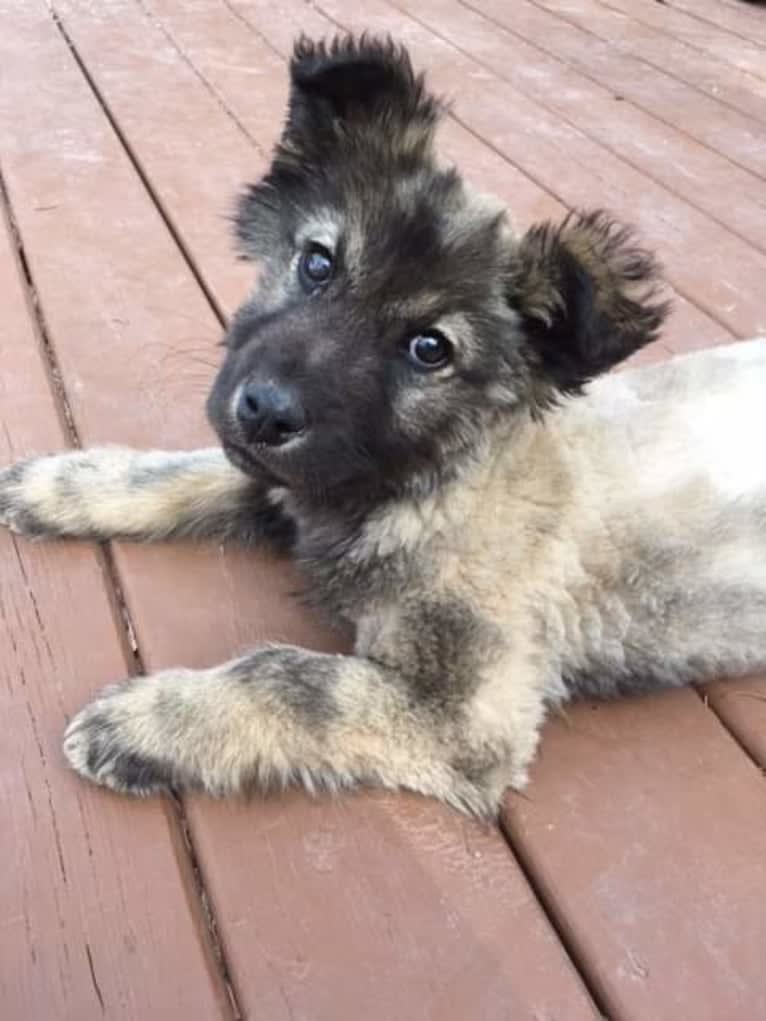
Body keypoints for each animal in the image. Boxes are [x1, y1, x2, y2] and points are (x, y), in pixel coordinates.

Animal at [1, 35, 766, 816]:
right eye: (317, 262)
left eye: (430, 348)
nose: (264, 409)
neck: (450, 476)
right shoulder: (296, 475)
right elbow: (189, 468)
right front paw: (66, 483)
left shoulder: (458, 710)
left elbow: (288, 676)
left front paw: (150, 721)